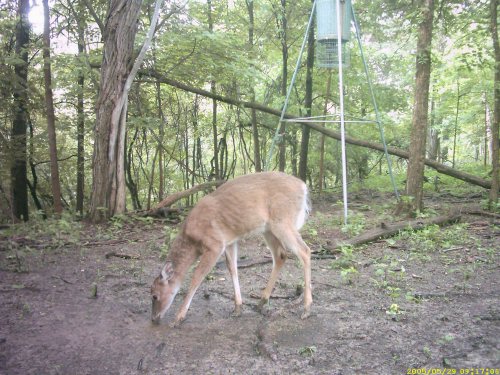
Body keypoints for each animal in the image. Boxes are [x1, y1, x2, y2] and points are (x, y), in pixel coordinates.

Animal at [149, 172, 312, 328]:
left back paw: (306, 308)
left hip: (282, 221)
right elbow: (232, 268)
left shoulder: (215, 244)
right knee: (281, 255)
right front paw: (237, 308)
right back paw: (261, 302)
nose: (154, 318)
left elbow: (197, 277)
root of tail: (303, 187)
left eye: (155, 295)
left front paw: (178, 318)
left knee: (305, 251)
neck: (193, 241)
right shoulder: (229, 242)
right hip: (268, 229)